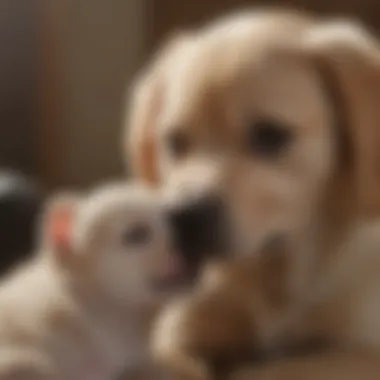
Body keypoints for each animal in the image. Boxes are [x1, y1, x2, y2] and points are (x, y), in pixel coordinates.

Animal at [124, 8, 380, 380]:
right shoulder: (180, 332)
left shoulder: (361, 350)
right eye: (173, 141)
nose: (184, 217)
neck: (275, 273)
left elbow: (276, 368)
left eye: (269, 135)